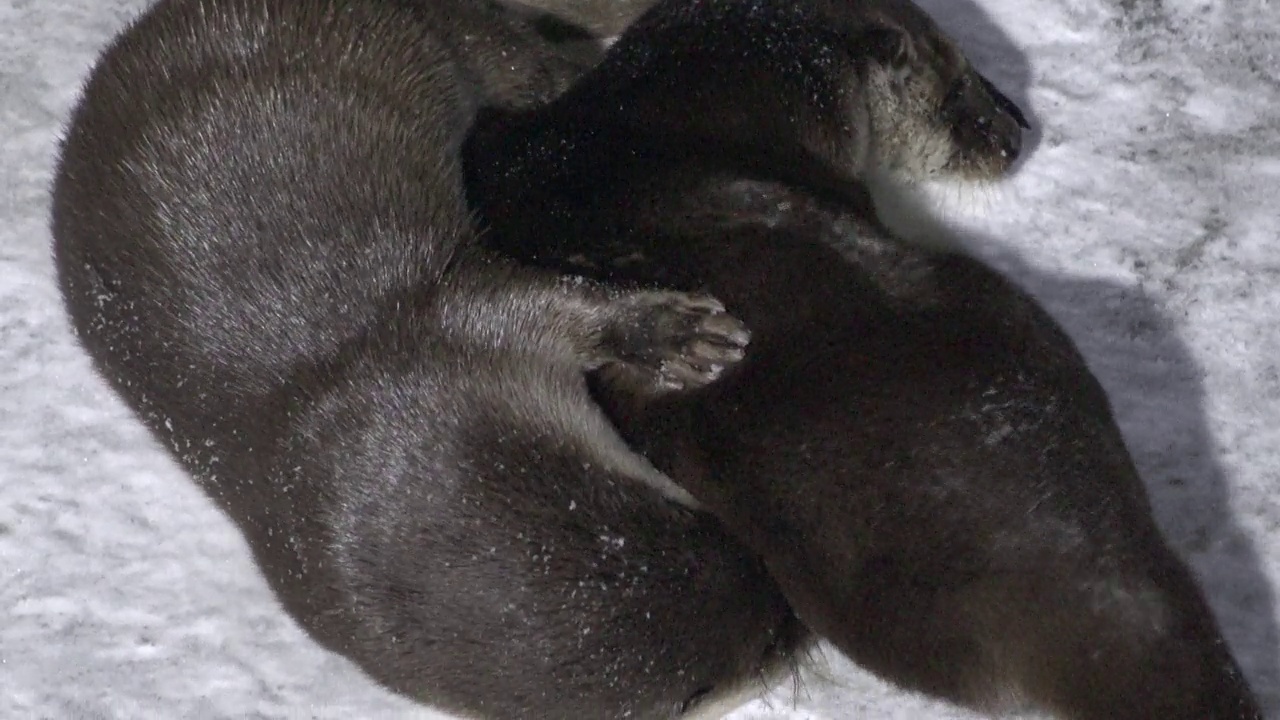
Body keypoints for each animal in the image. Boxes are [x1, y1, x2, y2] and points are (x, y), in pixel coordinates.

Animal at [52, 1, 808, 717]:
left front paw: (675, 333)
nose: (792, 614)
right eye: (754, 656)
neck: (338, 415)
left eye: (700, 518)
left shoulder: (466, 322)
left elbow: (563, 303)